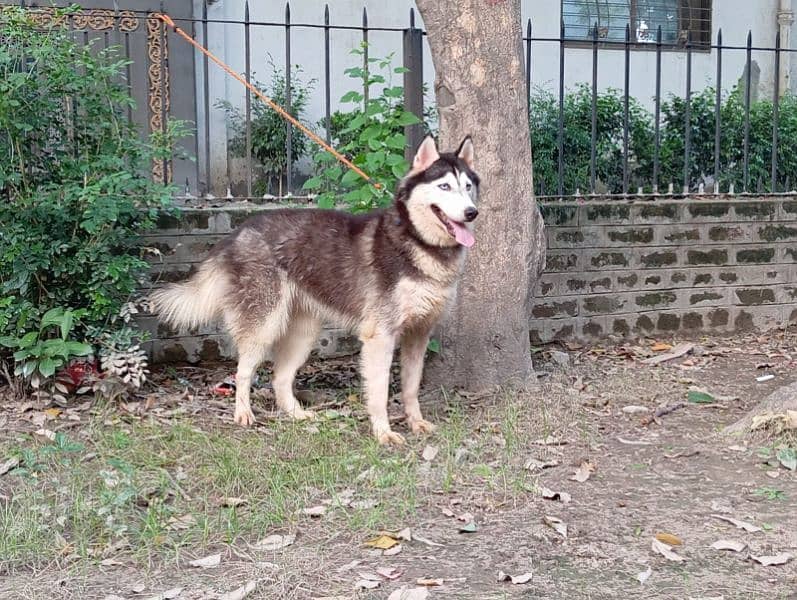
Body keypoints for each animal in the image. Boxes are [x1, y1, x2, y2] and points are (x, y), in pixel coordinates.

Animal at [155, 137, 478, 446]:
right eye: (444, 186)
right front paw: (383, 432)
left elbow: (411, 388)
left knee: (280, 378)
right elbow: (379, 392)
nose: (471, 213)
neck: (419, 242)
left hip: (304, 333)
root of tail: (239, 231)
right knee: (243, 372)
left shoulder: (418, 334)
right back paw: (243, 413)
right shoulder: (381, 336)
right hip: (265, 325)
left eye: (468, 187)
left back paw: (296, 414)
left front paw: (416, 422)